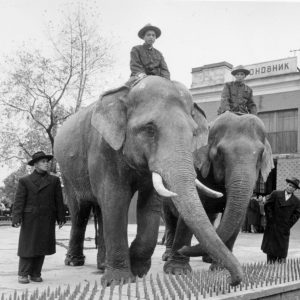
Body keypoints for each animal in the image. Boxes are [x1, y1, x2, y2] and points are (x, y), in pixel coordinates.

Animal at [54, 75, 244, 286]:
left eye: (194, 133)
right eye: (149, 129)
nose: (232, 281)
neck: (128, 91)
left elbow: (150, 203)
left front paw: (138, 269)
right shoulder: (103, 149)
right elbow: (115, 198)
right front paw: (119, 281)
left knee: (101, 211)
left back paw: (102, 266)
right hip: (66, 171)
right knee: (79, 211)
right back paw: (74, 262)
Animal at [163, 110, 274, 270]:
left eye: (260, 155)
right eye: (220, 153)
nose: (183, 250)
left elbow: (239, 218)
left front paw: (219, 268)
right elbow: (190, 215)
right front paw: (177, 271)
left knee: (210, 217)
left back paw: (208, 258)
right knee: (170, 219)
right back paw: (167, 256)